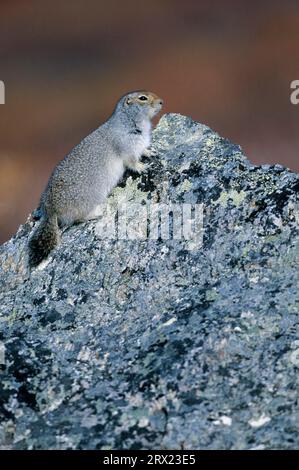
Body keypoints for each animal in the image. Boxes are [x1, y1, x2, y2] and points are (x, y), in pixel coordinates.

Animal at [28, 91, 164, 268]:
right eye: (142, 98)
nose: (162, 102)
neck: (128, 120)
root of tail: (50, 210)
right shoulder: (127, 146)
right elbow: (132, 161)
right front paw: (143, 167)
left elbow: (143, 150)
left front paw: (150, 151)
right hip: (88, 200)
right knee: (78, 218)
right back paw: (98, 213)